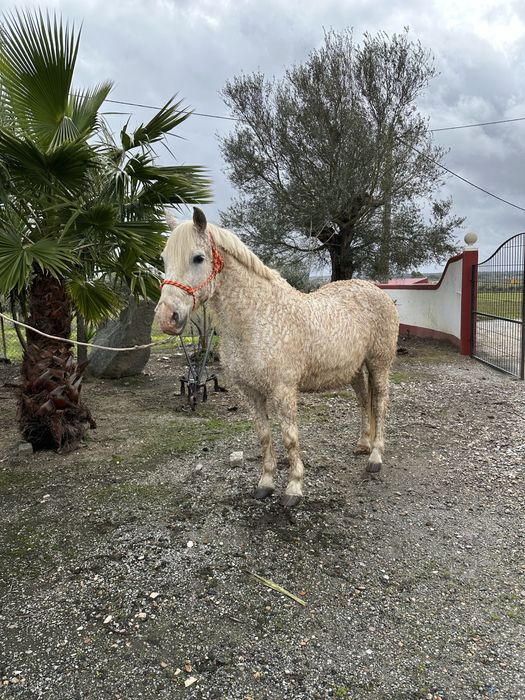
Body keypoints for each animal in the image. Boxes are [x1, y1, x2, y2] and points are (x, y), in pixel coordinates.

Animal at [156, 208, 399, 507]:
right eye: (164, 259)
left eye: (198, 258)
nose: (167, 317)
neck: (259, 318)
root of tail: (376, 290)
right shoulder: (250, 392)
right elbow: (264, 436)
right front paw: (266, 483)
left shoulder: (283, 391)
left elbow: (289, 437)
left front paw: (294, 487)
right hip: (354, 369)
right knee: (364, 401)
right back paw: (363, 445)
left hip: (379, 364)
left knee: (380, 404)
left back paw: (375, 457)